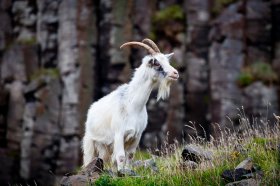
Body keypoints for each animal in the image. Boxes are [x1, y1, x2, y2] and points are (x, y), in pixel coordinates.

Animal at [81, 38, 179, 172]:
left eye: (166, 60)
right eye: (157, 63)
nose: (176, 73)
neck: (132, 105)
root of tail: (92, 108)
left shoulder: (137, 136)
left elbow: (130, 155)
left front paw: (127, 171)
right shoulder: (119, 134)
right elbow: (121, 156)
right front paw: (121, 173)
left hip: (106, 146)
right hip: (91, 141)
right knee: (90, 158)